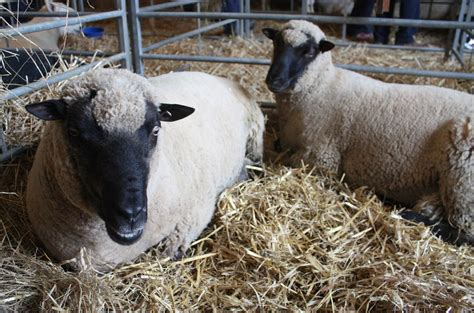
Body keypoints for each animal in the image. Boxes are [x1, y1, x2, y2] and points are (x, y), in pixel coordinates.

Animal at [262, 19, 474, 245]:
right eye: (276, 43)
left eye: (308, 52)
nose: (274, 80)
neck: (320, 87)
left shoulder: (320, 157)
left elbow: (283, 162)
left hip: (463, 177)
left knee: (464, 232)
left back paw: (406, 215)